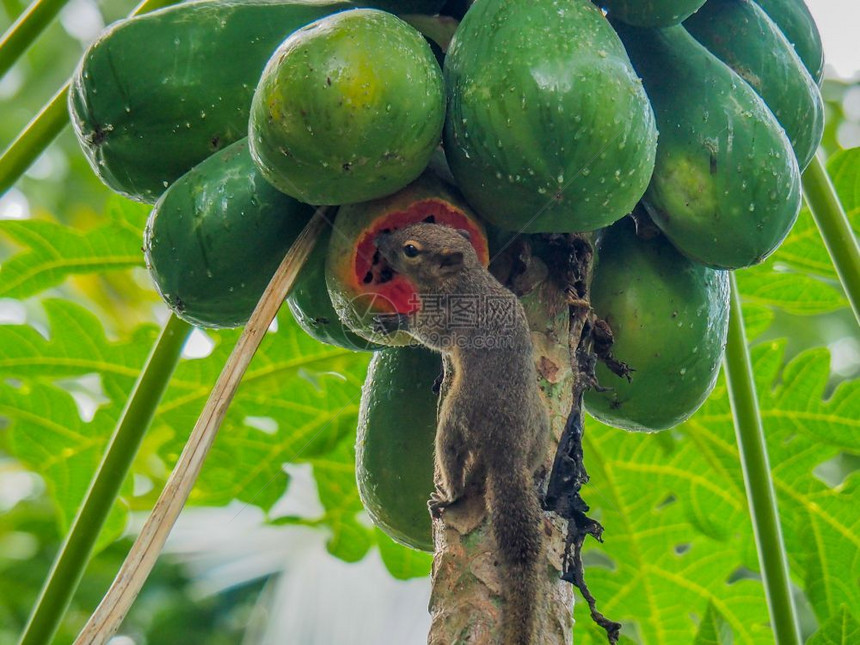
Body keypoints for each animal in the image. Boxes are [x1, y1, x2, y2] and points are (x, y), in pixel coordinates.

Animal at [372, 223, 548, 644]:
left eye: (411, 249)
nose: (378, 242)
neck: (466, 276)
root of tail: (509, 447)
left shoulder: (446, 317)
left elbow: (429, 335)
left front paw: (396, 321)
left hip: (457, 416)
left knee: (451, 452)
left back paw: (448, 496)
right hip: (541, 425)